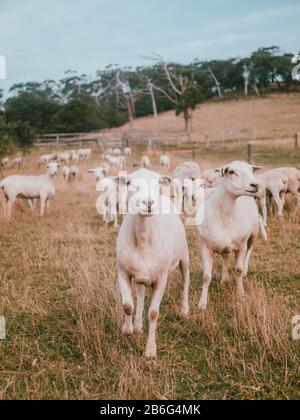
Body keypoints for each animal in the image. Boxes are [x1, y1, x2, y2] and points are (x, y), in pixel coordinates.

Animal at [116, 167, 190, 358]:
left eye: (157, 183)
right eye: (129, 182)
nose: (148, 202)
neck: (143, 238)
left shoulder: (161, 278)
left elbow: (154, 314)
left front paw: (150, 350)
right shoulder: (122, 272)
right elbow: (127, 305)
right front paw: (128, 329)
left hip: (184, 255)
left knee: (186, 280)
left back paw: (185, 310)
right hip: (141, 275)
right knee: (140, 294)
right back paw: (137, 325)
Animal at [197, 162, 268, 310]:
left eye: (251, 170)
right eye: (231, 171)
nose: (255, 185)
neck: (225, 214)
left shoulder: (241, 246)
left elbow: (238, 271)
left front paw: (240, 294)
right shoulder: (205, 246)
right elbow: (206, 276)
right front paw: (202, 304)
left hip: (253, 234)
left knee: (249, 251)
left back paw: (245, 270)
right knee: (225, 258)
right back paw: (224, 279)